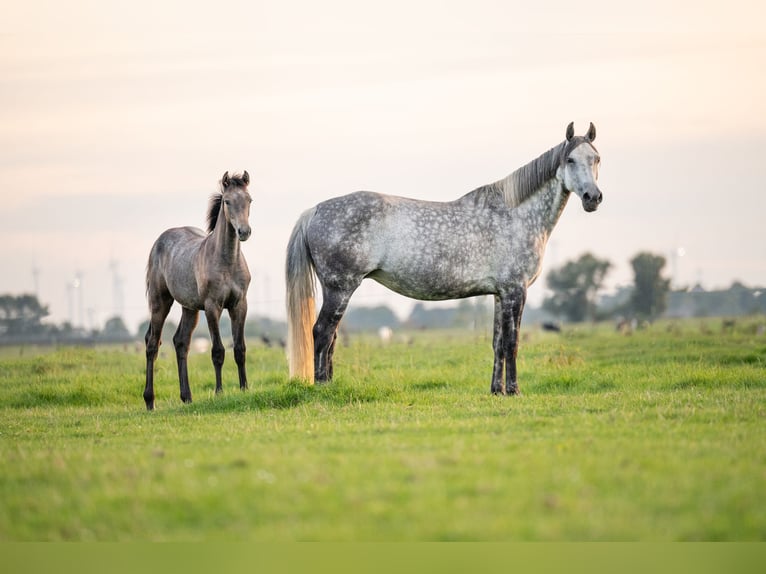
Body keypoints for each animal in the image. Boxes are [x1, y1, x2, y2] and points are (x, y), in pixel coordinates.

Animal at [142, 171, 254, 410]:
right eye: (227, 201)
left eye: (250, 200)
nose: (244, 232)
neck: (227, 261)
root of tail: (159, 242)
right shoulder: (213, 307)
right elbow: (218, 351)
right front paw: (219, 392)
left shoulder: (239, 305)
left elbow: (239, 349)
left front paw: (244, 388)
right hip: (160, 302)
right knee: (152, 344)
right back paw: (149, 400)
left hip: (190, 308)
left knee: (181, 342)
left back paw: (187, 397)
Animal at [288, 122, 608, 396]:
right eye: (570, 160)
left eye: (596, 159)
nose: (593, 197)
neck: (515, 215)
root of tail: (315, 211)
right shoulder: (516, 290)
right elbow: (512, 342)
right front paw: (514, 390)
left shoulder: (499, 293)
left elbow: (497, 343)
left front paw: (497, 391)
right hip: (340, 288)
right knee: (322, 333)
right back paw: (321, 387)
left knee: (332, 337)